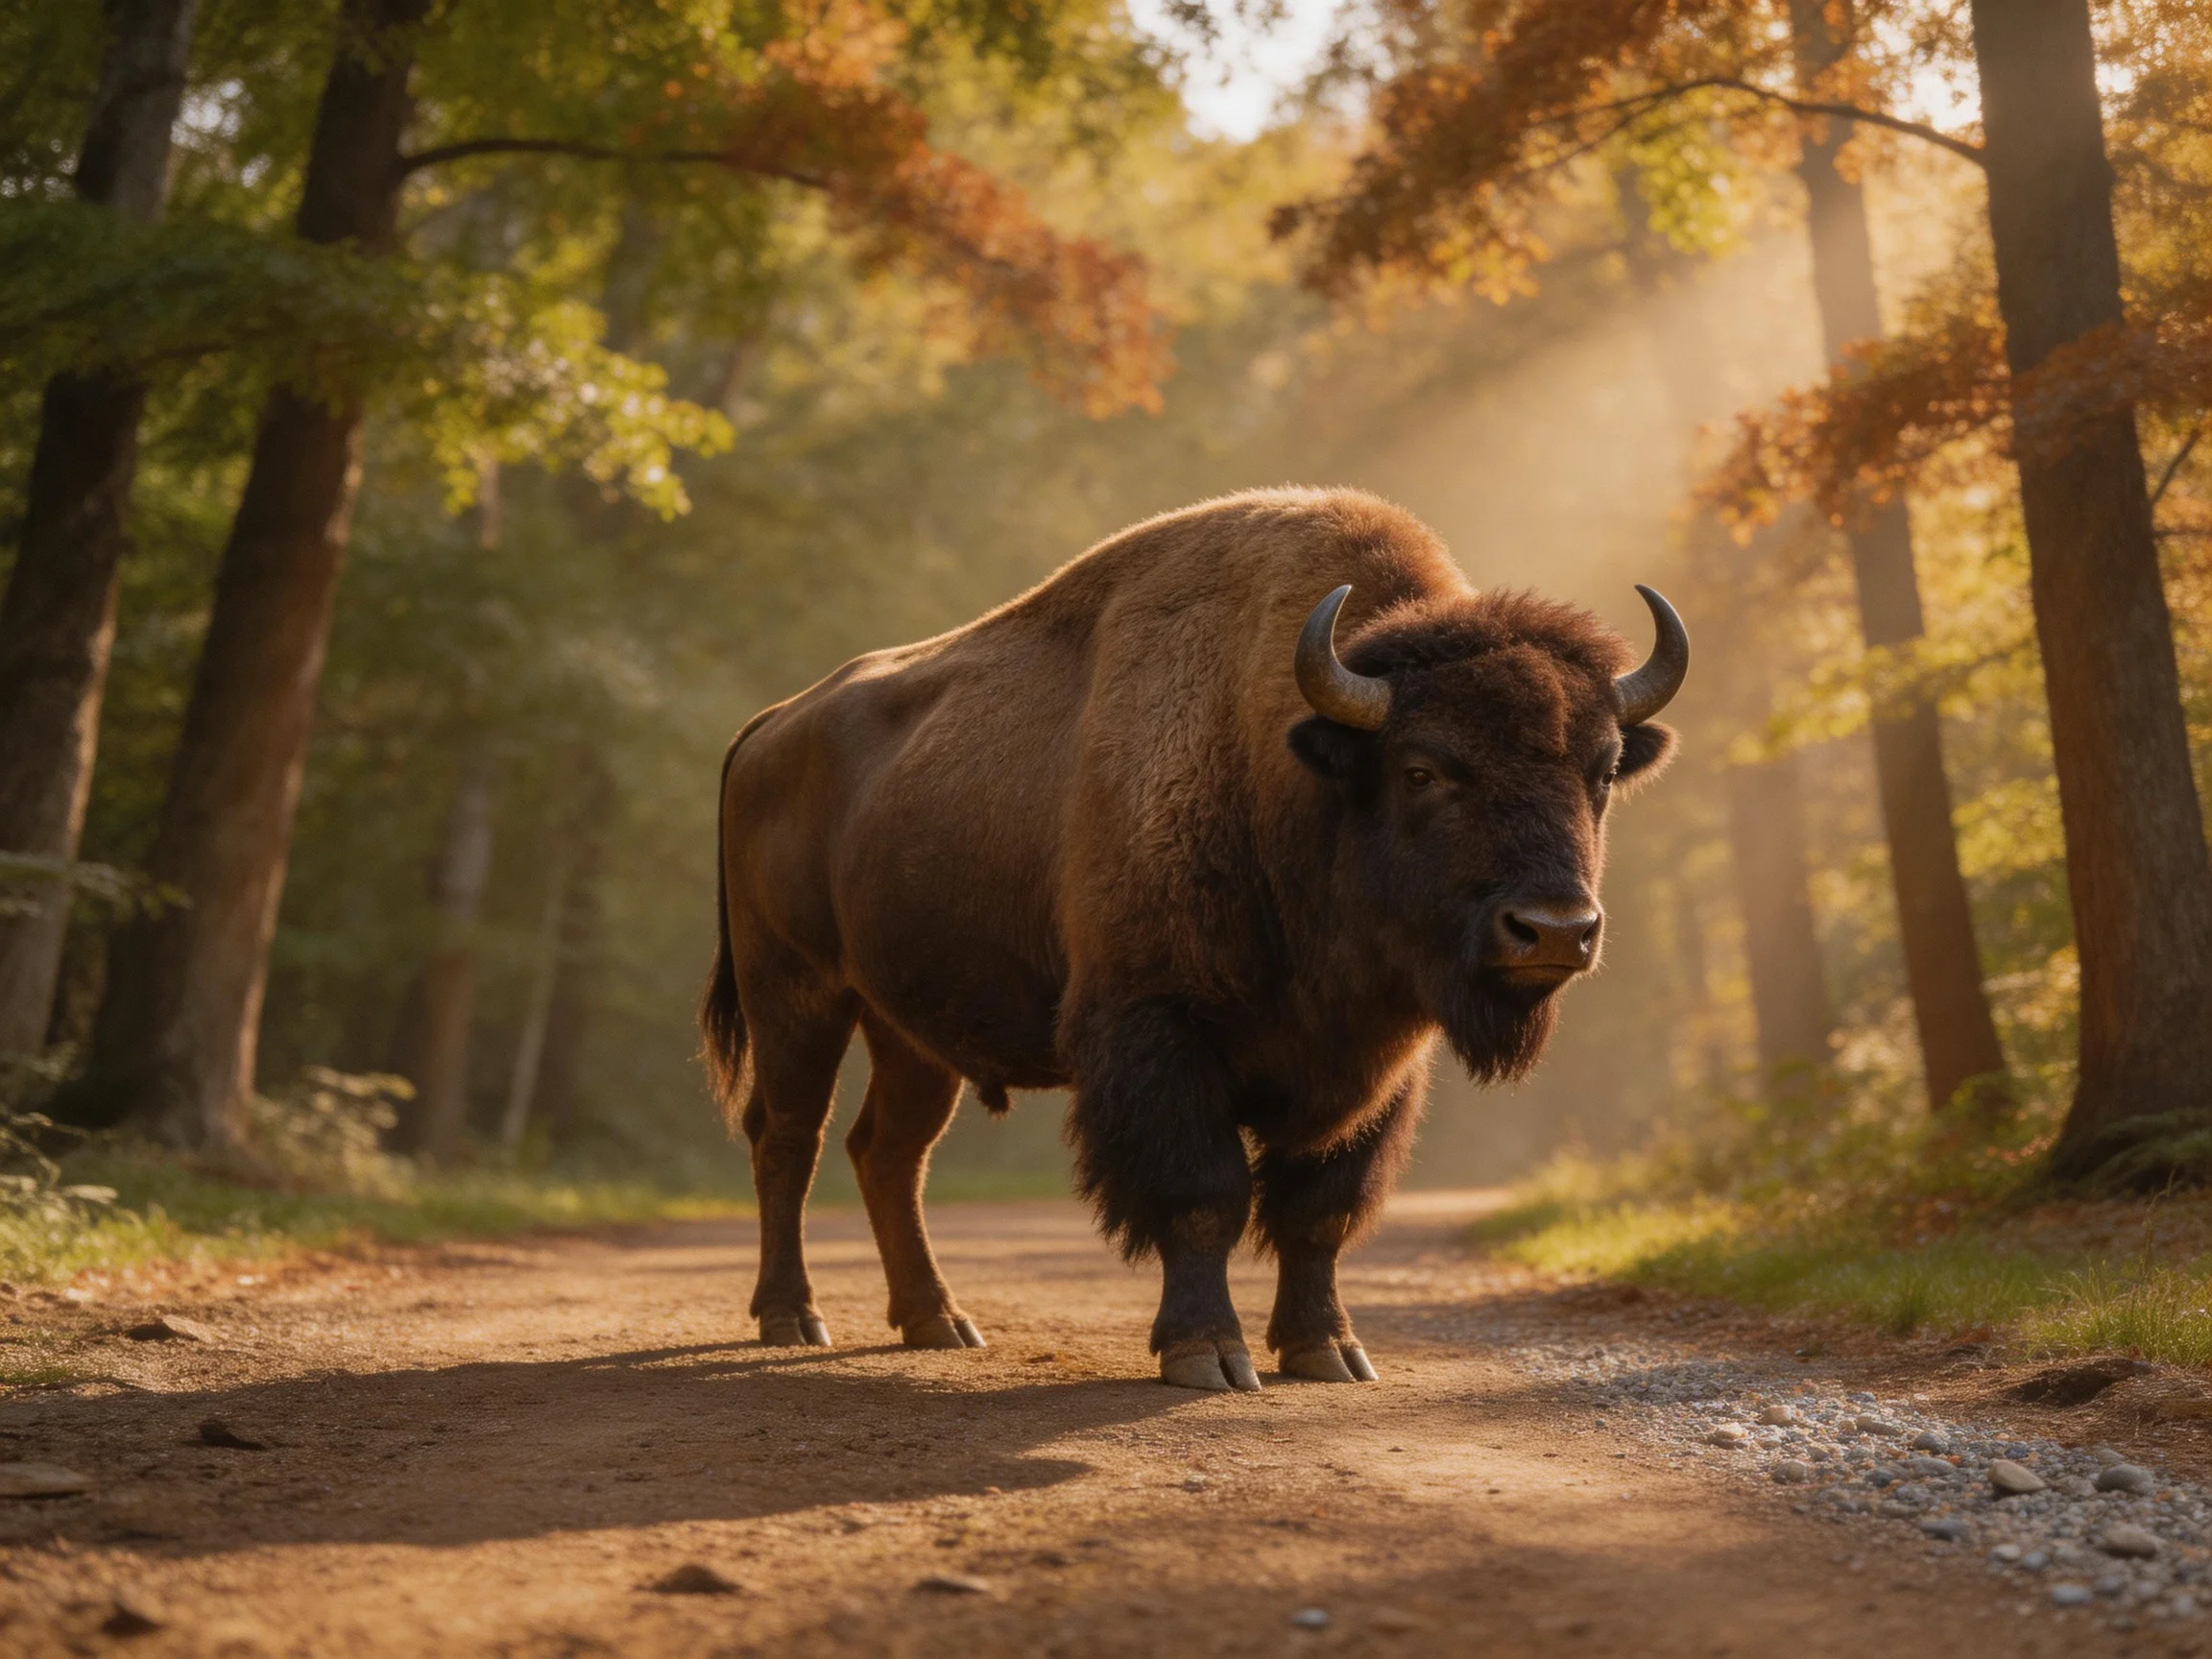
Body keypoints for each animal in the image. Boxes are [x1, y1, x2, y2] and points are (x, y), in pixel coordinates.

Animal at [701, 488, 1684, 1390]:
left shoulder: (1377, 1066)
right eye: (1422, 769)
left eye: (1601, 772)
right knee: (788, 1140)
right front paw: (1206, 1355)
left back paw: (939, 1322)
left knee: (889, 1154)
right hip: (798, 996)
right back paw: (794, 1318)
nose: (1555, 928)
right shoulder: (1160, 1033)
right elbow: (1204, 1198)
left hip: (909, 1032)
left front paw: (1328, 1352)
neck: (1288, 769)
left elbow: (1319, 1211)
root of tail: (767, 728)